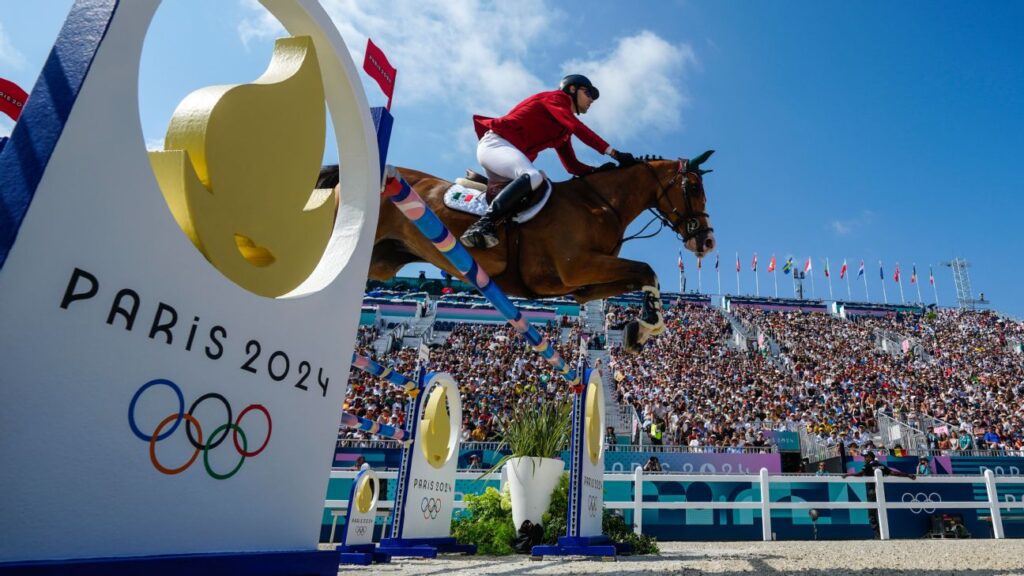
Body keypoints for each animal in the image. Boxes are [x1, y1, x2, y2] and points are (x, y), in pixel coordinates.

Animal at [325, 150, 712, 350]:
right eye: (693, 187)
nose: (707, 242)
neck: (599, 204)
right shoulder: (577, 267)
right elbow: (646, 268)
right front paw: (646, 326)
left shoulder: (583, 287)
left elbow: (643, 276)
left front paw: (641, 329)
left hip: (382, 259)